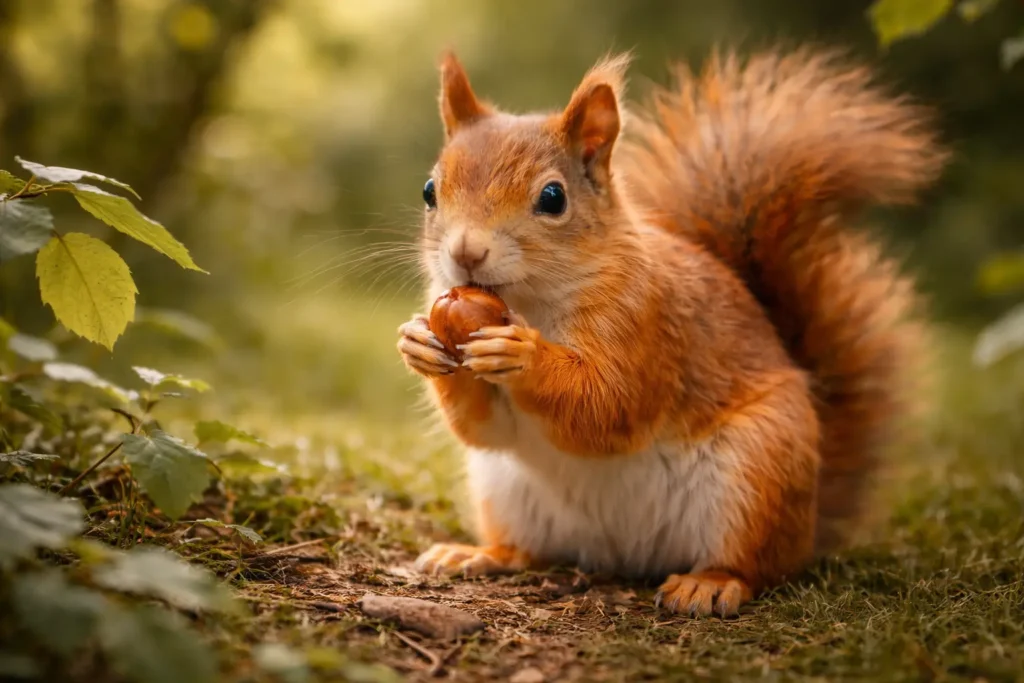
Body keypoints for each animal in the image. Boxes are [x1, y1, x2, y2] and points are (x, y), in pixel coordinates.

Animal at [396, 47, 946, 617]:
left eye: (553, 197)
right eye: (430, 190)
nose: (466, 252)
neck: (529, 302)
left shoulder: (648, 324)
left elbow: (610, 405)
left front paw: (522, 354)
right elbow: (485, 428)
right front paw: (418, 343)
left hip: (759, 473)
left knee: (757, 565)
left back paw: (711, 583)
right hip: (504, 489)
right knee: (527, 548)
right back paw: (478, 553)